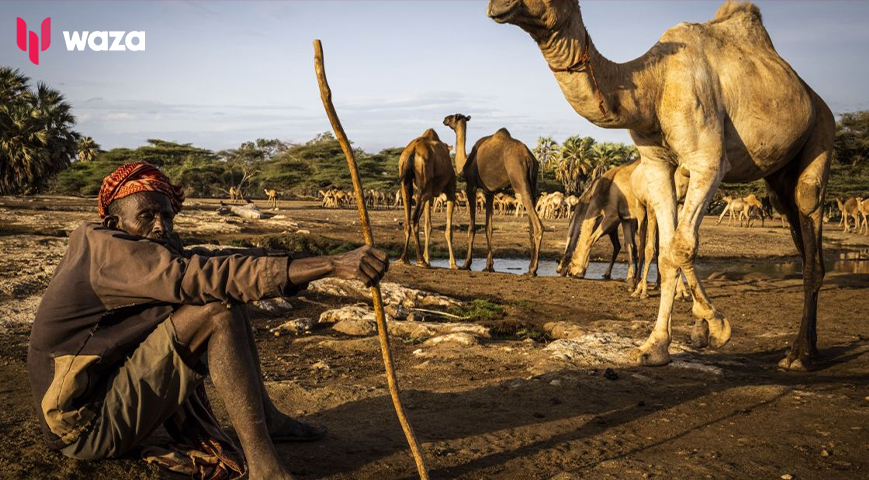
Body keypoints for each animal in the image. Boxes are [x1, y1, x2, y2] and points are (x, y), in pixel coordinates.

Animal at [396, 127, 458, 270]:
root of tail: (411, 152)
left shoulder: (429, 195)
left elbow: (428, 226)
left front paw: (428, 259)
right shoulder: (451, 190)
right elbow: (449, 230)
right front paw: (453, 263)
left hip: (407, 183)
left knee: (407, 219)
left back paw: (404, 259)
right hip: (424, 186)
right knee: (413, 219)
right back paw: (420, 260)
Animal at [440, 113, 544, 276]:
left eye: (452, 117)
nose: (444, 119)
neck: (465, 164)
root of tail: (529, 159)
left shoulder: (471, 186)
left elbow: (472, 227)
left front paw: (466, 264)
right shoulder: (488, 192)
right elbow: (489, 228)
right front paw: (489, 266)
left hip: (519, 179)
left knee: (538, 225)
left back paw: (532, 270)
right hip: (532, 184)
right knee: (532, 225)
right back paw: (530, 267)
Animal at [488, 0, 836, 372]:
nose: (496, 6)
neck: (653, 85)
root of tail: (816, 99)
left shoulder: (707, 162)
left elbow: (679, 246)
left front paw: (715, 325)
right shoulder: (656, 163)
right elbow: (667, 250)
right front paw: (655, 346)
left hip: (821, 132)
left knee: (809, 211)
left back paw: (800, 354)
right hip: (778, 174)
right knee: (795, 223)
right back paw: (809, 347)